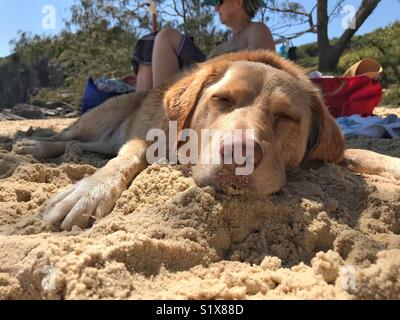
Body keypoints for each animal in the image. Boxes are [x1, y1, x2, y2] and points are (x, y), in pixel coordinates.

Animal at [12, 50, 400, 230]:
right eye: (222, 99)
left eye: (286, 117)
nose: (240, 155)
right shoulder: (149, 140)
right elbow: (125, 159)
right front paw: (88, 190)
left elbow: (365, 153)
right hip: (99, 119)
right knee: (70, 137)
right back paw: (32, 146)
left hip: (102, 138)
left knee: (86, 147)